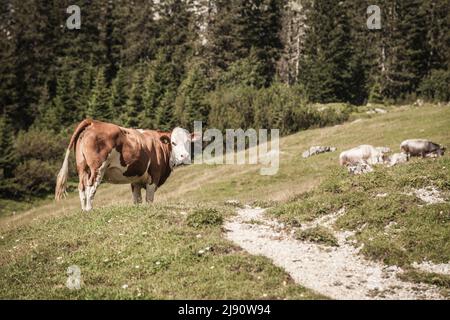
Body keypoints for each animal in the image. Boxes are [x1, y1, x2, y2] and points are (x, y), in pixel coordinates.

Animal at [55, 119, 199, 211]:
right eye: (173, 143)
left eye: (188, 142)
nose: (185, 156)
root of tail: (93, 122)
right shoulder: (154, 176)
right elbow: (149, 199)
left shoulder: (136, 180)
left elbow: (137, 199)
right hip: (97, 168)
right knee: (91, 187)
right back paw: (90, 209)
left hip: (82, 167)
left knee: (81, 187)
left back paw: (84, 210)